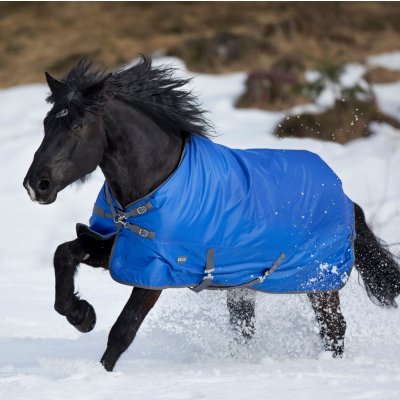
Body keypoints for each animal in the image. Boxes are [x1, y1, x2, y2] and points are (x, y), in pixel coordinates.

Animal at [24, 55, 400, 372]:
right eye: (46, 123)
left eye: (78, 125)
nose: (36, 185)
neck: (153, 184)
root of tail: (346, 197)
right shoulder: (117, 249)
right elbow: (63, 254)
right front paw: (81, 315)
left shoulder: (155, 271)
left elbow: (123, 330)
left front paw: (100, 369)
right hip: (243, 285)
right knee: (246, 329)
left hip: (319, 282)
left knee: (333, 328)